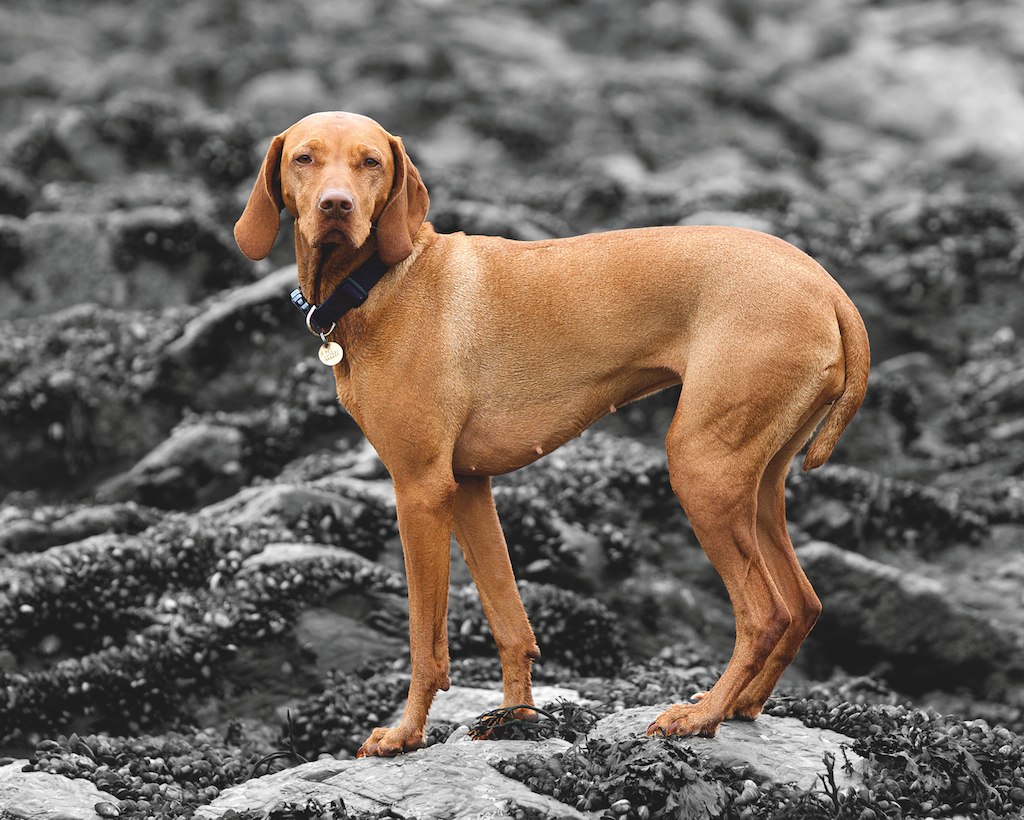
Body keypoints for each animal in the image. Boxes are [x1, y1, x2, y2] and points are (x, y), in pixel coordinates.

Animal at [234, 112, 872, 757]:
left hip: (701, 470)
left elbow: (425, 639)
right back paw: (742, 705)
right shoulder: (468, 486)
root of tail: (828, 287)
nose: (336, 206)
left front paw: (406, 733)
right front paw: (515, 719)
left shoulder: (420, 489)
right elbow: (509, 620)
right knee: (803, 603)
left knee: (765, 613)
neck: (385, 279)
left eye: (372, 162)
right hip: (755, 482)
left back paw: (703, 714)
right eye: (304, 158)